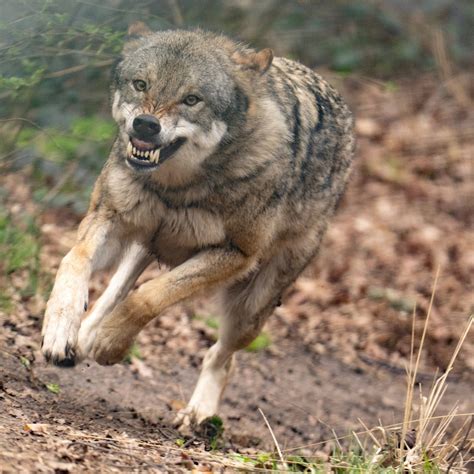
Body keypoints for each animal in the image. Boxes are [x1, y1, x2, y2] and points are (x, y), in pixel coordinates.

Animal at [40, 23, 354, 430]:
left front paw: (111, 345)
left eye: (192, 99)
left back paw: (197, 412)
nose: (146, 124)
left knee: (220, 356)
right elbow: (74, 260)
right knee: (113, 291)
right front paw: (60, 329)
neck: (177, 188)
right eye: (141, 84)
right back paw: (81, 338)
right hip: (143, 245)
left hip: (249, 311)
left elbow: (149, 297)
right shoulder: (109, 216)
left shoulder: (235, 256)